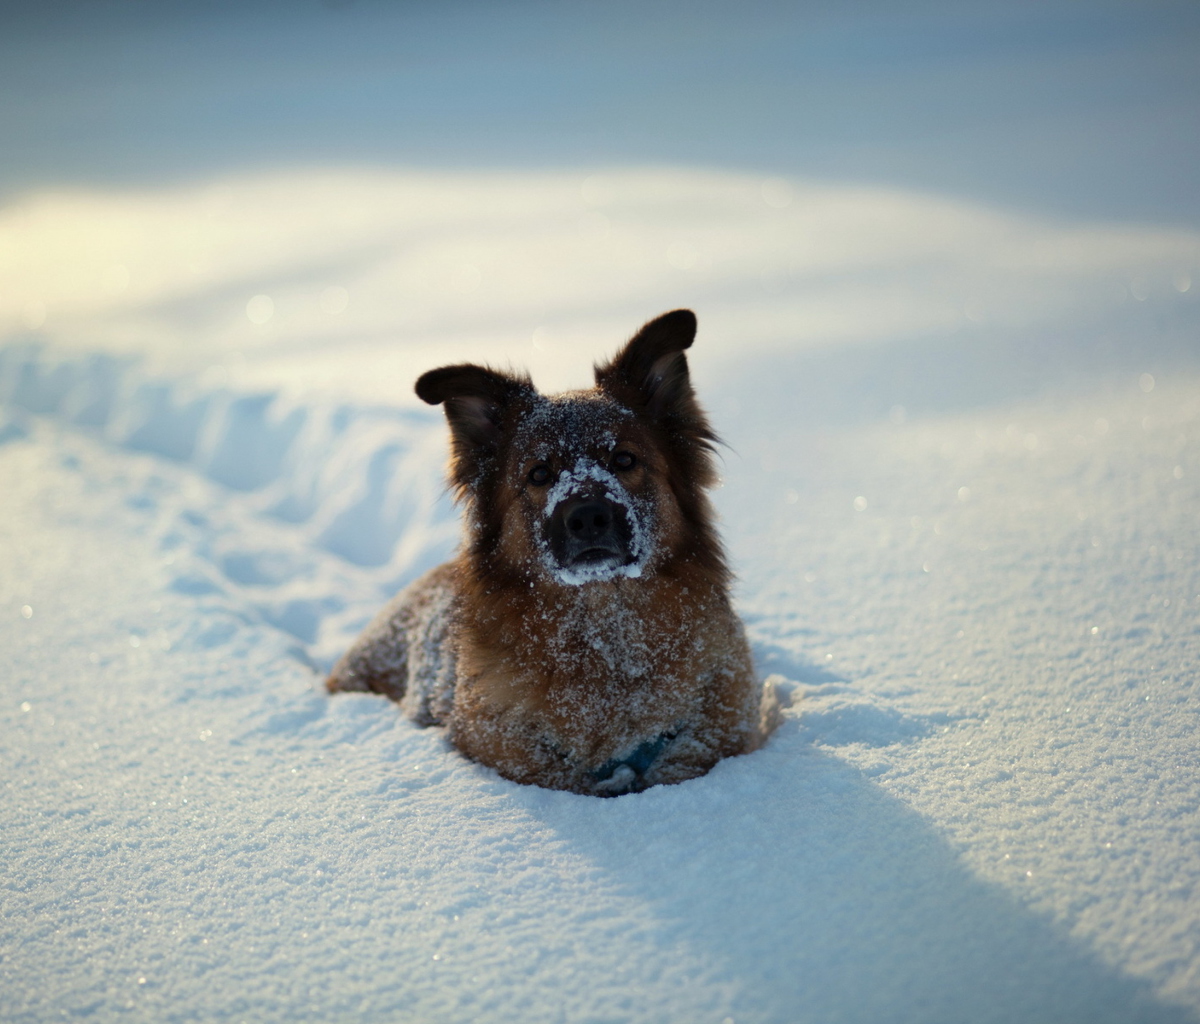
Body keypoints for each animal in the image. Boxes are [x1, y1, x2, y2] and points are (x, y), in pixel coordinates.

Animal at [328, 307, 777, 797]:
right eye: (539, 473)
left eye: (624, 460)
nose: (588, 517)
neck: (604, 636)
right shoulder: (498, 740)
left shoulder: (722, 720)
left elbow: (687, 760)